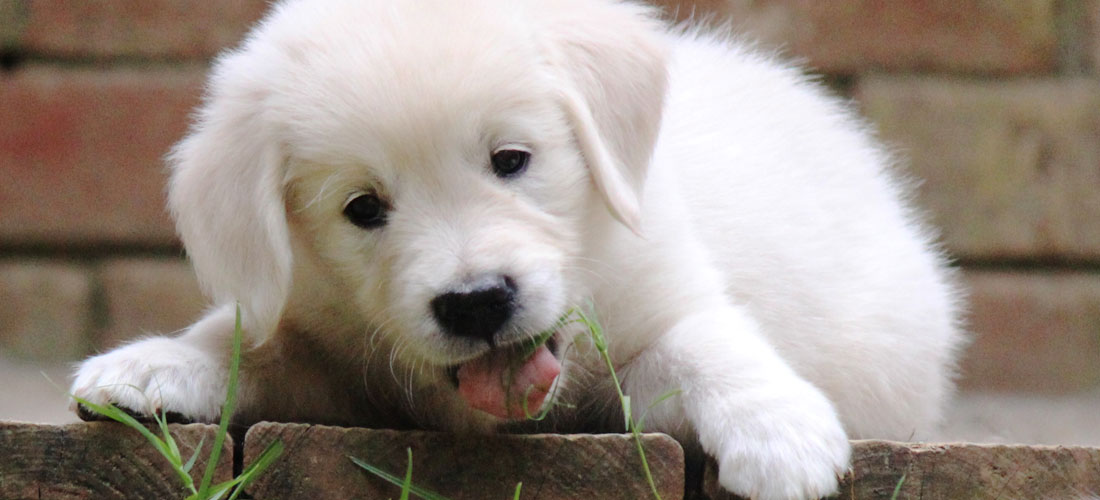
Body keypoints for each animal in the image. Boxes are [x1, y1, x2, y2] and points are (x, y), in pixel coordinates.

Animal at [70, 0, 963, 496]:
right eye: (364, 208)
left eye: (510, 161)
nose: (476, 303)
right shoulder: (326, 339)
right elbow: (249, 340)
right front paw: (156, 364)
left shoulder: (660, 299)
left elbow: (704, 345)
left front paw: (778, 434)